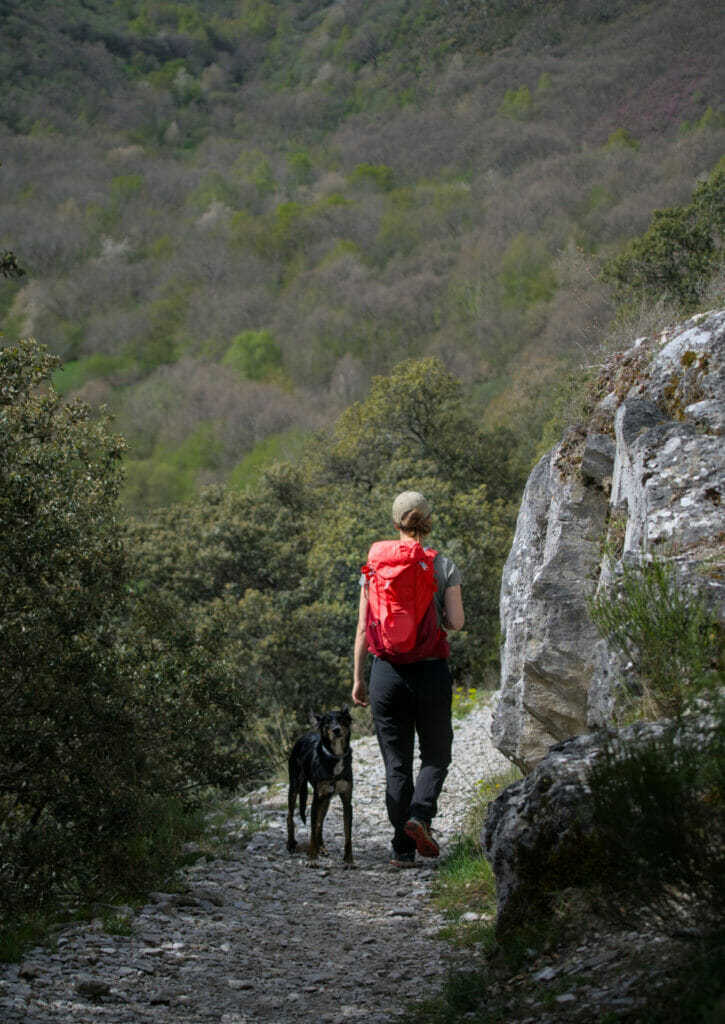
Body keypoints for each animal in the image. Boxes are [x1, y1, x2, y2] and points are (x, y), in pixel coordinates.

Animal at [288, 704, 356, 864]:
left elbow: (347, 835)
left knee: (320, 823)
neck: (335, 756)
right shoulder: (316, 801)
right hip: (295, 786)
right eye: (327, 722)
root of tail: (304, 736)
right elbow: (312, 832)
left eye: (342, 719)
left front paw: (348, 859)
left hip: (326, 800)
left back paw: (322, 848)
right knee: (290, 817)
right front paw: (312, 858)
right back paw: (290, 843)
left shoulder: (346, 801)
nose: (336, 730)